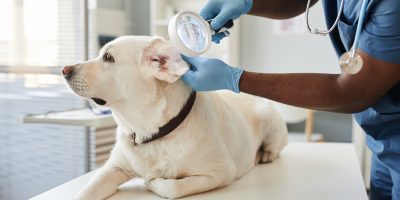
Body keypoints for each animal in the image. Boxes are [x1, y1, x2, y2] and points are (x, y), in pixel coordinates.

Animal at [62, 36, 288, 200]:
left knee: (276, 147)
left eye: (108, 57)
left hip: (269, 118)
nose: (64, 69)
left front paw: (152, 182)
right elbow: (86, 191)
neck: (151, 132)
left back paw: (264, 154)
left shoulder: (219, 173)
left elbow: (173, 188)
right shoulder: (112, 168)